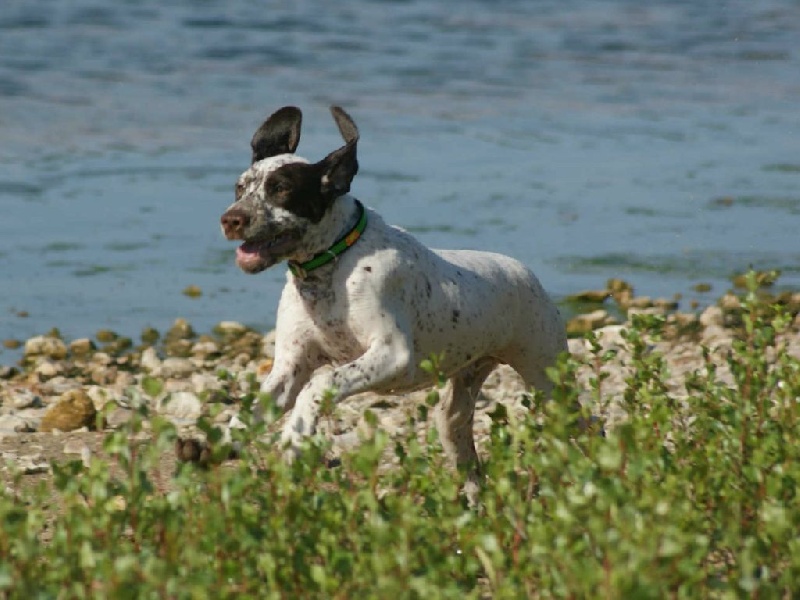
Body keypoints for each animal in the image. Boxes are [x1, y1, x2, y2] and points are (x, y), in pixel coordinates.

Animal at [216, 104, 564, 496]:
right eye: (240, 187)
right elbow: (250, 410)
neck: (334, 263)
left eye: (282, 189)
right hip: (454, 414)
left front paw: (296, 434)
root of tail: (526, 273)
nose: (231, 219)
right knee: (468, 458)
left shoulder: (392, 355)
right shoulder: (290, 368)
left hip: (548, 381)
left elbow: (321, 384)